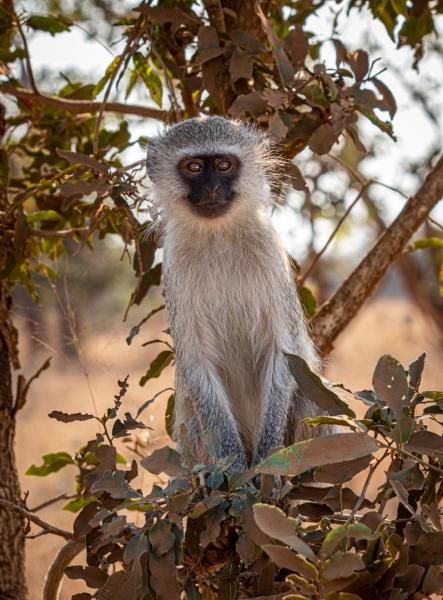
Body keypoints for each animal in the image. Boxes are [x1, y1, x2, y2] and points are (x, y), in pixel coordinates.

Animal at [147, 116, 324, 474]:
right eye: (195, 167)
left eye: (224, 165)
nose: (212, 189)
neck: (219, 235)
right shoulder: (172, 266)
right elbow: (196, 363)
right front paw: (238, 471)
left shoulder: (271, 252)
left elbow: (283, 353)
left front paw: (266, 462)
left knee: (309, 396)